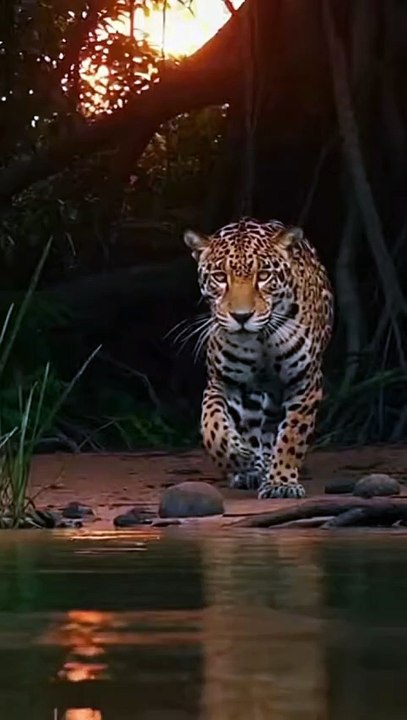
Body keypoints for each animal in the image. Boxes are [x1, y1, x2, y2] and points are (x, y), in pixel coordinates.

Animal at [183, 217, 334, 499]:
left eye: (263, 276)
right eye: (220, 278)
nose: (242, 317)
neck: (261, 340)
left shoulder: (305, 382)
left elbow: (292, 435)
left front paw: (281, 482)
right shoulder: (221, 382)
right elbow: (212, 427)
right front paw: (240, 458)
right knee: (251, 428)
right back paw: (251, 469)